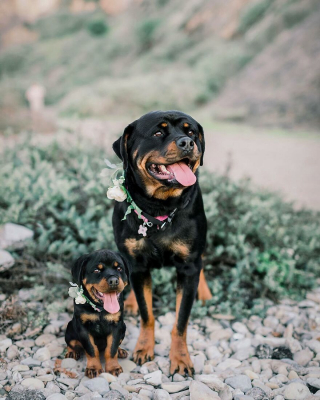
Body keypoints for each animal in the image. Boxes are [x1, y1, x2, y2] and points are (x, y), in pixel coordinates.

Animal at [64, 248, 128, 376]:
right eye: (96, 270)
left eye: (119, 269)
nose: (114, 280)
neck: (101, 309)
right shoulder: (83, 327)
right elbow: (91, 349)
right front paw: (93, 368)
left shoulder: (117, 326)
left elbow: (111, 348)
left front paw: (113, 367)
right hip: (70, 328)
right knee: (71, 343)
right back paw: (72, 352)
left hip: (123, 327)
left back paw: (120, 351)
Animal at [111, 109, 211, 376]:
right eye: (157, 133)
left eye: (191, 132)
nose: (187, 143)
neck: (160, 207)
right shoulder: (138, 265)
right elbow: (148, 314)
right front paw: (144, 347)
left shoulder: (188, 267)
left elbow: (180, 322)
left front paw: (180, 359)